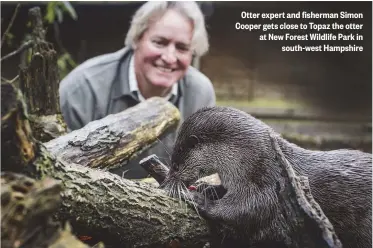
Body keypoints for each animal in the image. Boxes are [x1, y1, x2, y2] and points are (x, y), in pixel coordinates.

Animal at [161, 106, 370, 248]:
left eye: (175, 166)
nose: (166, 182)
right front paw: (207, 188)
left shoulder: (267, 182)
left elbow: (247, 210)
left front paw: (198, 198)